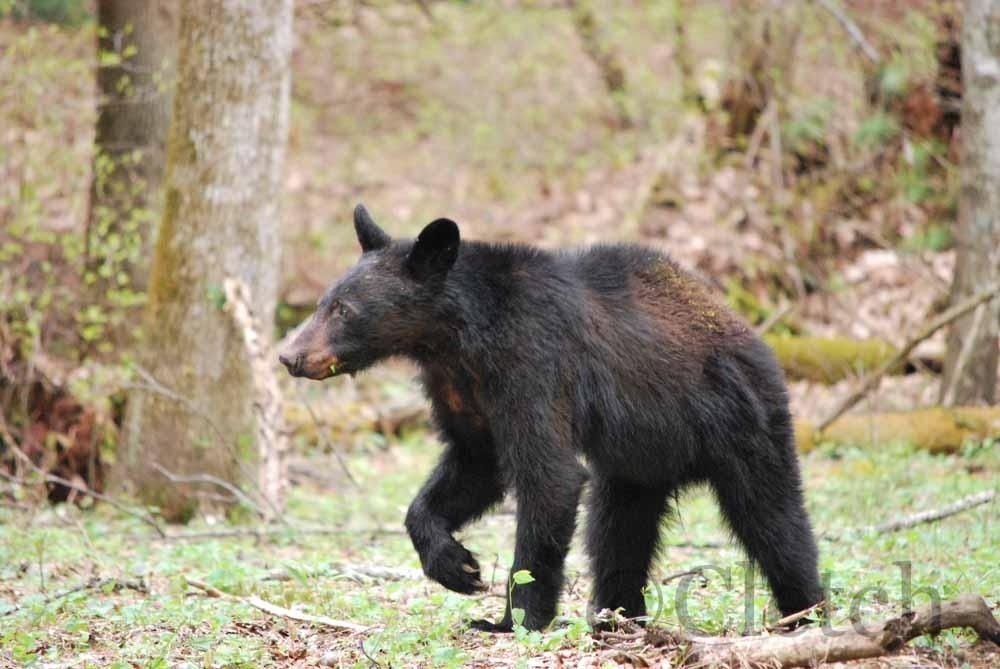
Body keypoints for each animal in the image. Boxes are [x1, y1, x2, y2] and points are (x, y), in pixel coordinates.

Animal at [279, 204, 823, 633]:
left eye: (344, 309)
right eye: (324, 302)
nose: (289, 355)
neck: (457, 338)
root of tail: (752, 335)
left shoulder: (533, 362)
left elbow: (548, 475)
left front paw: (513, 620)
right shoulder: (459, 389)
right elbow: (473, 464)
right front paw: (457, 565)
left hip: (743, 420)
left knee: (774, 520)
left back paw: (806, 612)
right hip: (637, 462)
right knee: (617, 532)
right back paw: (616, 616)